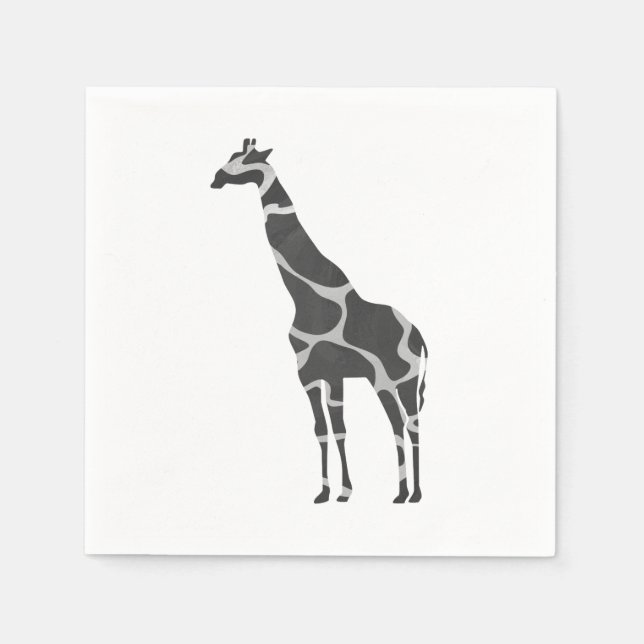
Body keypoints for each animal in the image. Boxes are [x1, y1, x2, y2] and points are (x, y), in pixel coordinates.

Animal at [211, 139, 428, 503]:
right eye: (231, 156)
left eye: (245, 160)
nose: (215, 178)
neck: (305, 298)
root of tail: (420, 336)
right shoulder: (313, 375)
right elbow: (325, 430)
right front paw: (330, 492)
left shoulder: (329, 372)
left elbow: (337, 429)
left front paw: (343, 491)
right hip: (389, 381)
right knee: (401, 424)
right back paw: (404, 492)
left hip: (398, 379)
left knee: (407, 424)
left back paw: (411, 494)